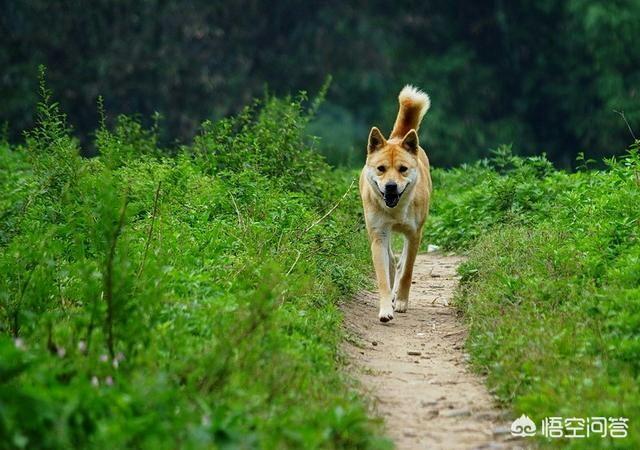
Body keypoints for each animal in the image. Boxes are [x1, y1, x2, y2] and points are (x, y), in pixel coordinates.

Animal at [358, 84, 432, 322]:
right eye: (381, 168)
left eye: (403, 169)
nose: (390, 186)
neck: (396, 210)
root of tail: (397, 138)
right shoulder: (379, 234)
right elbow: (383, 275)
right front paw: (385, 309)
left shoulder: (414, 234)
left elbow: (407, 270)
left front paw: (400, 302)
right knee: (391, 261)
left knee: (401, 263)